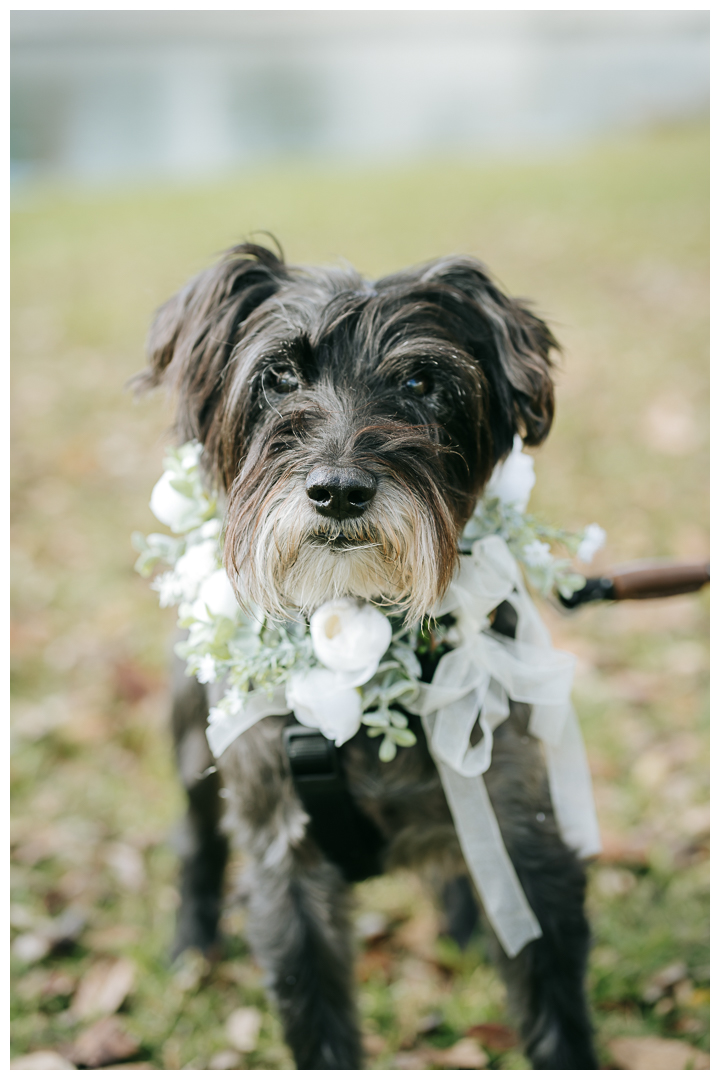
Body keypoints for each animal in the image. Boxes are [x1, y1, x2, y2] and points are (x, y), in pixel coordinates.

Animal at [134, 247, 595, 1071]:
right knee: (195, 845)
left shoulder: (523, 836)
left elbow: (555, 1009)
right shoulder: (285, 866)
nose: (340, 491)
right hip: (193, 748)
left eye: (421, 383)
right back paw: (191, 944)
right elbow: (317, 1022)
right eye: (280, 376)